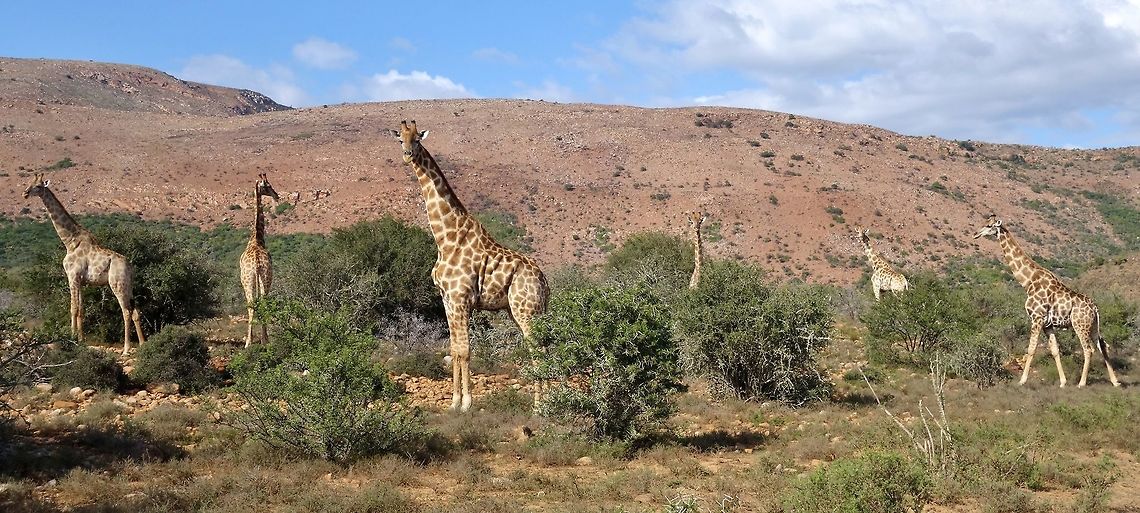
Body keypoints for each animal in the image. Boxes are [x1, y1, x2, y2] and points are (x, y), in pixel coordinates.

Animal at [22, 174, 145, 354]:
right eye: (29, 183)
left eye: (38, 186)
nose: (25, 193)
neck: (70, 241)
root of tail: (130, 267)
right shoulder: (81, 280)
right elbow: (80, 309)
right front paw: (80, 339)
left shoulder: (73, 276)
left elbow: (73, 308)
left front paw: (71, 338)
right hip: (128, 285)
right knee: (136, 310)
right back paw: (143, 344)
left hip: (117, 284)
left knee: (126, 312)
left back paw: (126, 348)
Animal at [391, 120, 550, 412]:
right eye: (400, 140)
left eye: (418, 139)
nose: (407, 155)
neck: (446, 237)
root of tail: (544, 280)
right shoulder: (446, 299)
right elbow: (453, 349)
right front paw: (454, 402)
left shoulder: (460, 298)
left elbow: (464, 350)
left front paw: (466, 403)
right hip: (523, 310)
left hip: (526, 310)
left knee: (538, 349)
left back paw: (540, 406)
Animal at [974, 215, 1120, 387]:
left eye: (989, 226)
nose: (975, 234)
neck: (1028, 281)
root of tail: (1095, 308)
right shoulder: (1047, 324)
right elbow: (1055, 350)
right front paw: (1063, 382)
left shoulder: (1036, 318)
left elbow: (1031, 349)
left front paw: (1022, 381)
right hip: (1093, 326)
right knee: (1102, 345)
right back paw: (1115, 381)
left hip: (1080, 325)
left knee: (1088, 349)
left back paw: (1082, 383)